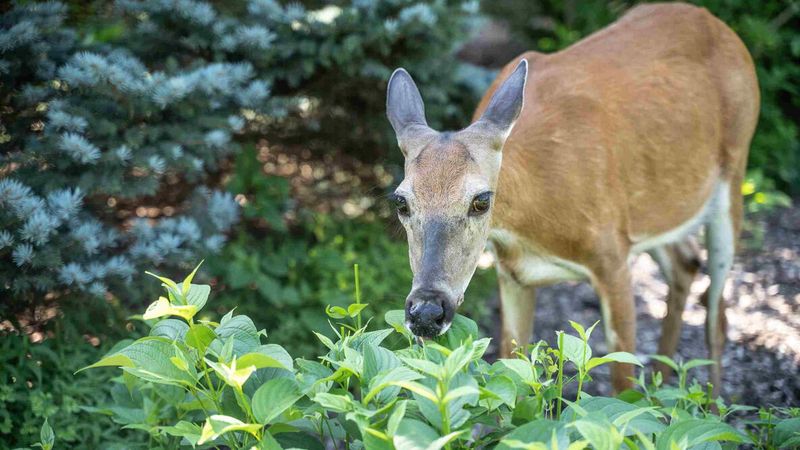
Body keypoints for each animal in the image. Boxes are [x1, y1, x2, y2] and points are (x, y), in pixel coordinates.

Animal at [385, 2, 759, 394]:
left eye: (481, 200)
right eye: (401, 202)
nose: (426, 312)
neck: (533, 221)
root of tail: (719, 25)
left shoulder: (612, 258)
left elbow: (622, 385)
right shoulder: (512, 273)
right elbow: (513, 370)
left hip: (734, 176)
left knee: (717, 318)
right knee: (685, 263)